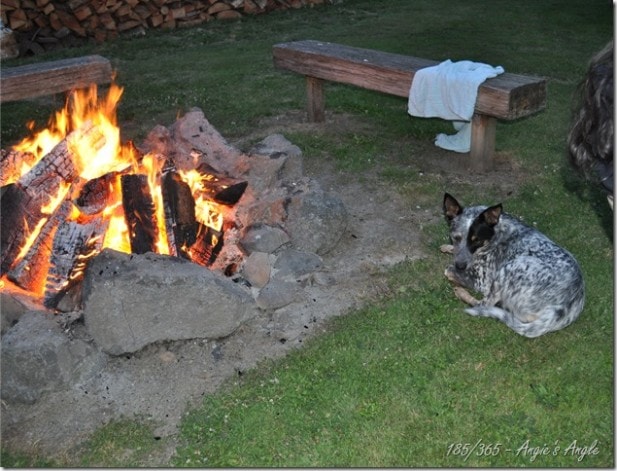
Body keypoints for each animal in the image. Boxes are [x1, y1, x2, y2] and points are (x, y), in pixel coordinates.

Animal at [440, 194, 584, 338]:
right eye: (456, 237)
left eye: (477, 241)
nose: (460, 266)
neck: (496, 233)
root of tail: (563, 307)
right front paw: (448, 247)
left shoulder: (483, 281)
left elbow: (448, 270)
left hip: (509, 269)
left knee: (484, 304)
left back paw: (462, 292)